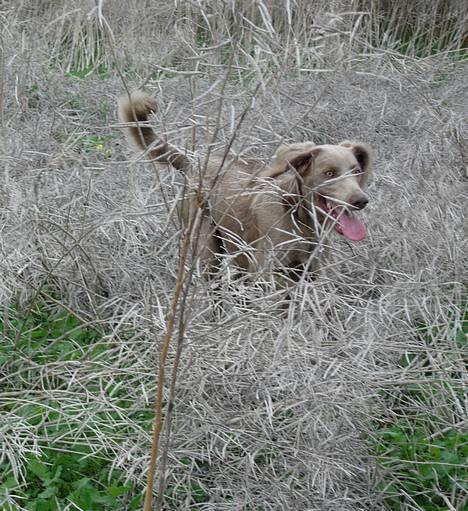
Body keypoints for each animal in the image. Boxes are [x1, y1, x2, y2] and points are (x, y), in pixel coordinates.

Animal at [119, 92, 372, 284]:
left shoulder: (310, 274)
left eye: (356, 171)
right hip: (207, 250)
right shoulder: (268, 273)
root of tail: (193, 161)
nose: (360, 200)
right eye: (329, 173)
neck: (299, 219)